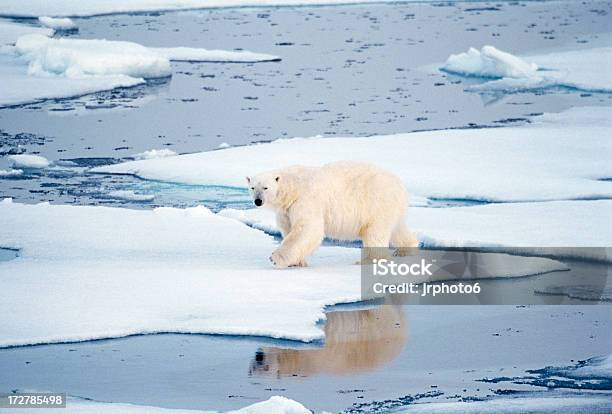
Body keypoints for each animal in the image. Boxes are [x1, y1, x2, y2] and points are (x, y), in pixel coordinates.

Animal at [246, 160, 418, 266]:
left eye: (266, 187)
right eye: (253, 187)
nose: (258, 201)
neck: (293, 187)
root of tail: (400, 185)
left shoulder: (306, 200)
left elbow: (307, 229)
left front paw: (275, 258)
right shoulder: (286, 210)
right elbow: (289, 229)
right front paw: (297, 262)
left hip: (376, 201)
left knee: (375, 233)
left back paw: (366, 261)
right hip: (390, 207)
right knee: (397, 228)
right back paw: (404, 250)